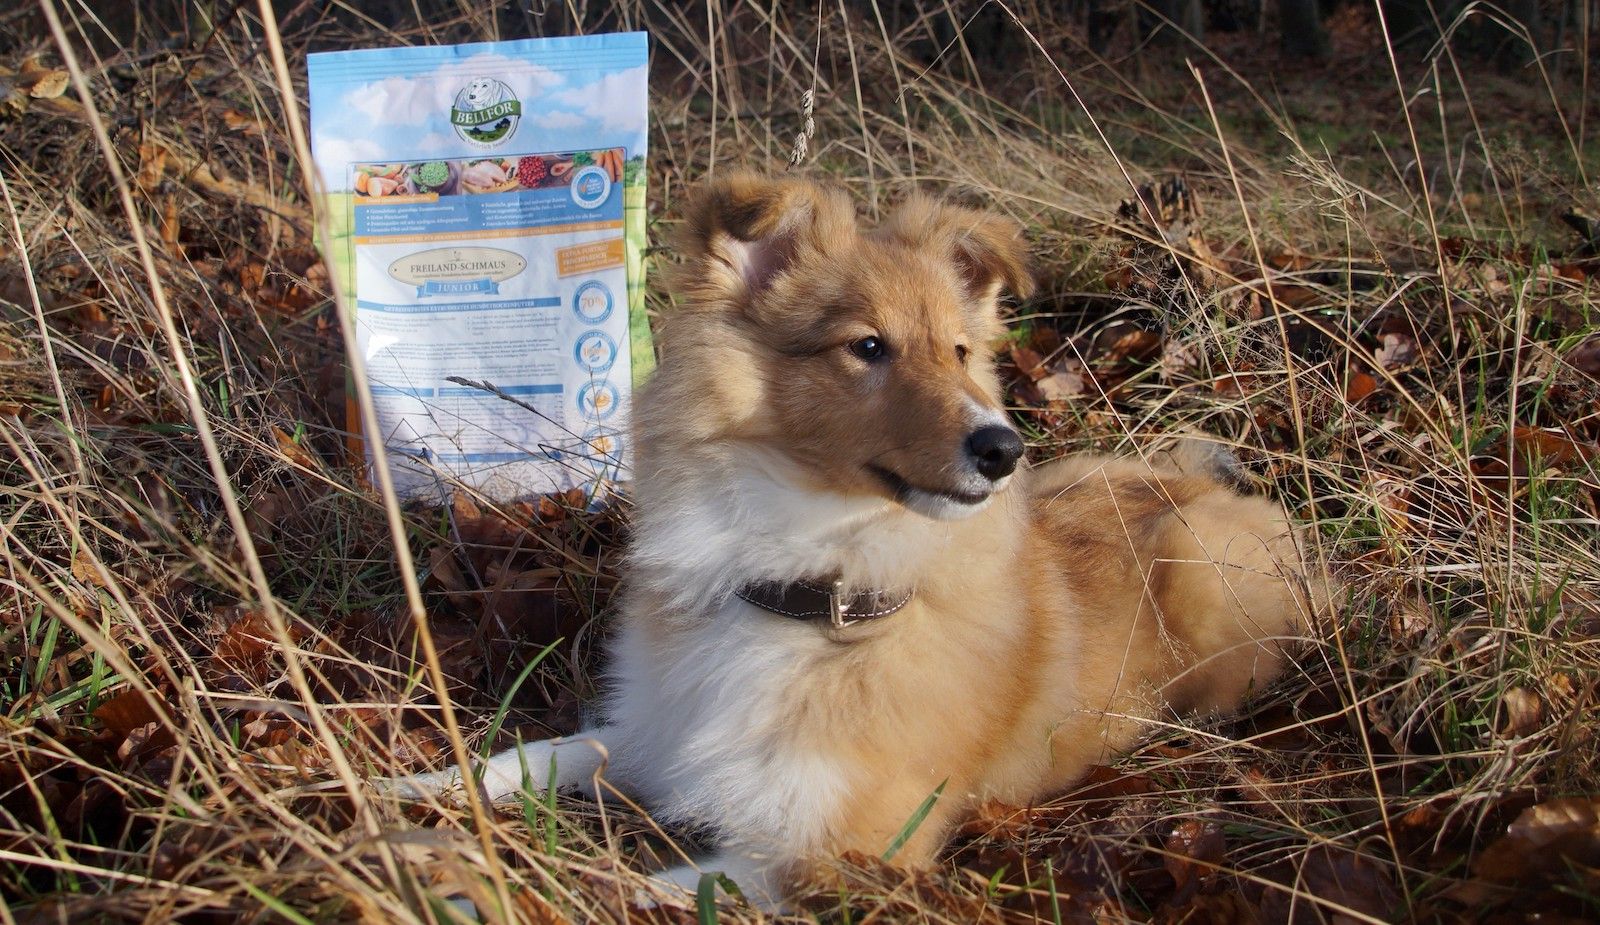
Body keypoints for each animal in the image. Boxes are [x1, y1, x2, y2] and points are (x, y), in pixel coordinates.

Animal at [403, 171, 1324, 902]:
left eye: (961, 352)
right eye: (868, 346)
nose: (1003, 449)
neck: (806, 587)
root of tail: (1207, 479)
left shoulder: (840, 850)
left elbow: (623, 891)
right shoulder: (658, 734)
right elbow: (541, 753)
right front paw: (416, 789)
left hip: (1202, 578)